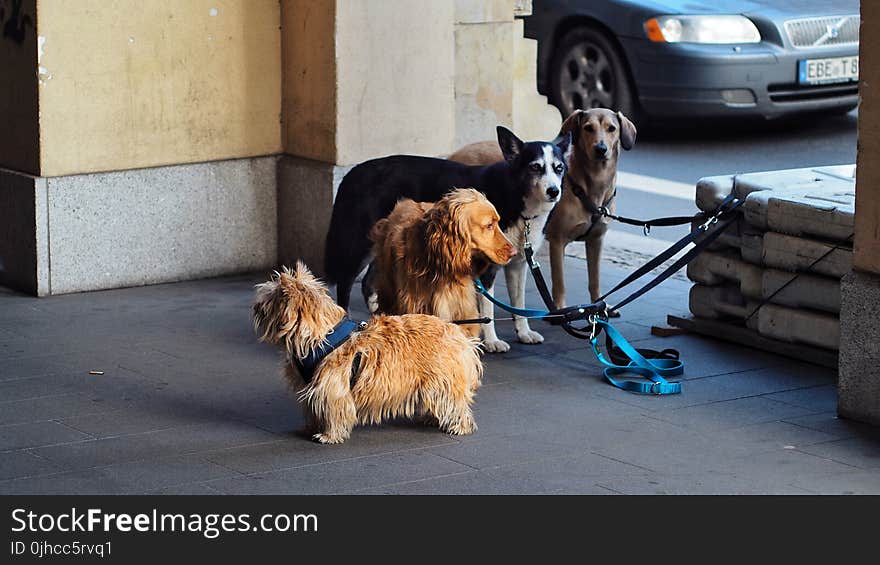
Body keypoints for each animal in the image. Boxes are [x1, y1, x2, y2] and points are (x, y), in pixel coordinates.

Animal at [251, 262, 484, 442]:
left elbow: (332, 411)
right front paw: (311, 428)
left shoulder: (332, 388)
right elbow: (313, 409)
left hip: (442, 381)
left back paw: (459, 426)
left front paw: (328, 435)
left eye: (269, 297)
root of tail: (460, 336)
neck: (322, 336)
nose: (255, 306)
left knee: (454, 403)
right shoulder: (312, 386)